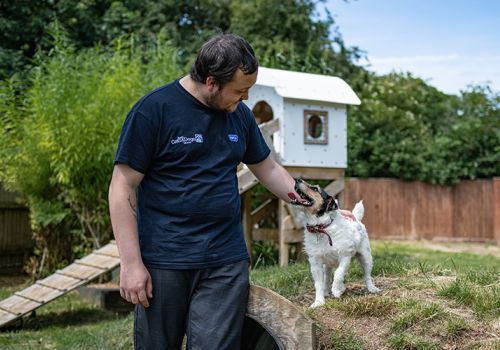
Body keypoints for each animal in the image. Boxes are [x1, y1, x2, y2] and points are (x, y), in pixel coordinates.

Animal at [292, 179, 378, 308]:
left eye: (315, 188)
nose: (297, 179)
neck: (321, 228)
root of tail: (356, 219)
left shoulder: (345, 257)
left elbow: (338, 274)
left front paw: (337, 290)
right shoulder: (316, 264)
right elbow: (319, 283)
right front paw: (319, 301)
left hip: (366, 257)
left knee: (367, 275)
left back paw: (371, 288)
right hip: (326, 265)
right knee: (327, 278)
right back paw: (327, 291)